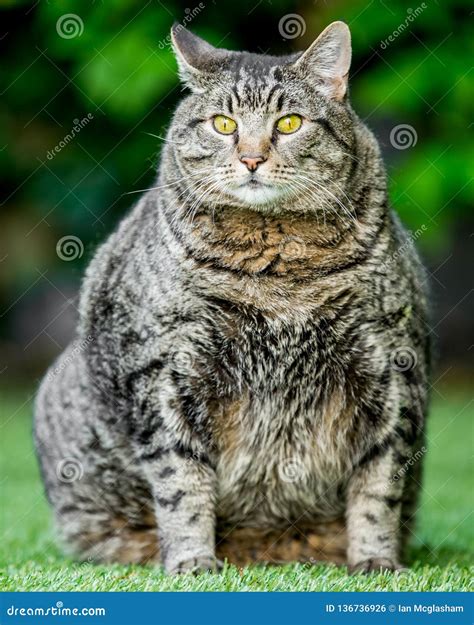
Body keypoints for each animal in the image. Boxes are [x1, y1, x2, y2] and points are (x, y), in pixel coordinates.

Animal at [35, 22, 432, 572]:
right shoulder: (163, 376)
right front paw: (191, 562)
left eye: (289, 123)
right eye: (224, 124)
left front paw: (375, 561)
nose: (251, 158)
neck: (278, 270)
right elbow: (181, 484)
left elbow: (379, 486)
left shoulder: (394, 370)